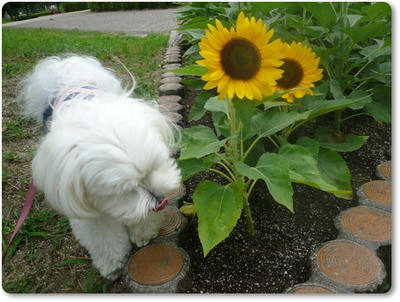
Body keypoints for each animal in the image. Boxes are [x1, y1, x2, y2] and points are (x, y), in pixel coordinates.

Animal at [17, 54, 181, 280]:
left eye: (154, 167)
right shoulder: (88, 208)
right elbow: (104, 237)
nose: (159, 200)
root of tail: (68, 70)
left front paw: (143, 233)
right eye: (124, 191)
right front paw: (112, 265)